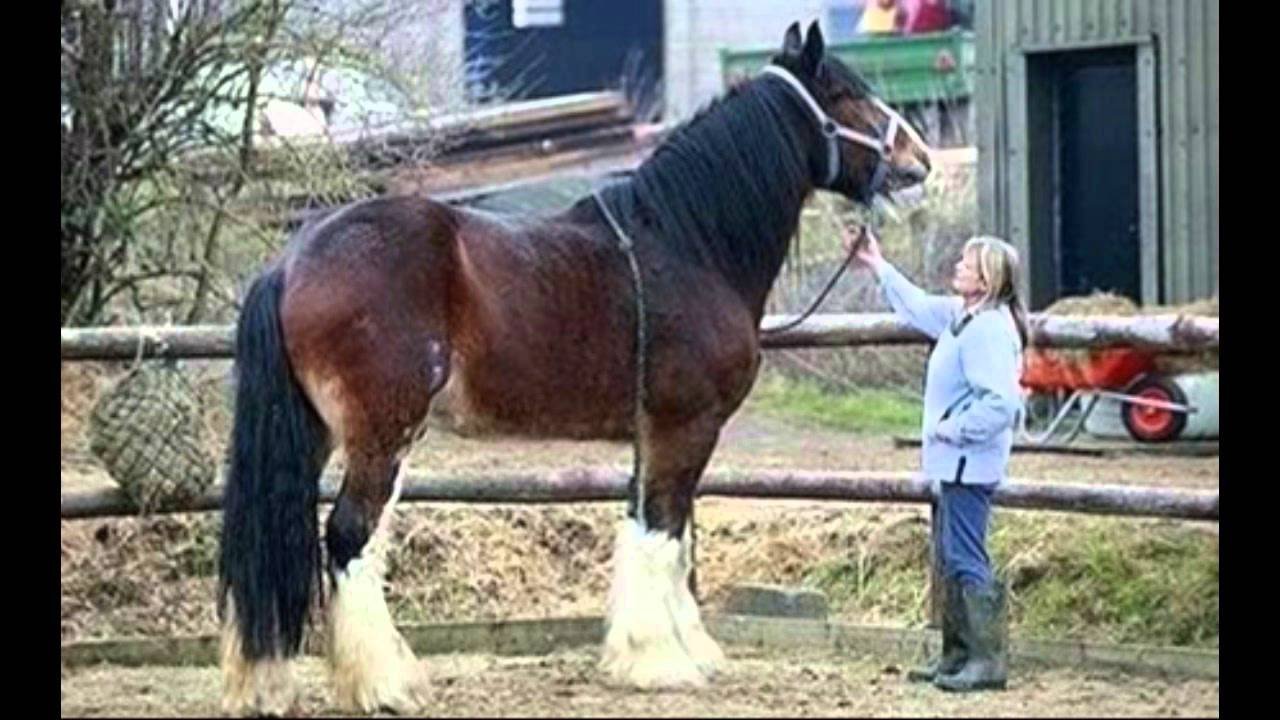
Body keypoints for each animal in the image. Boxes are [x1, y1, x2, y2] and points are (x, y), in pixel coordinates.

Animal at [220, 20, 931, 712]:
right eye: (844, 94)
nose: (919, 160)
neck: (687, 246)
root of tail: (292, 261)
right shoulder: (685, 427)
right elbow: (663, 532)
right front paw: (661, 660)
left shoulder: (654, 433)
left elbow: (661, 532)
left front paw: (666, 650)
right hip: (382, 434)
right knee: (348, 537)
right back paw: (385, 685)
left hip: (314, 432)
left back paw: (266, 683)